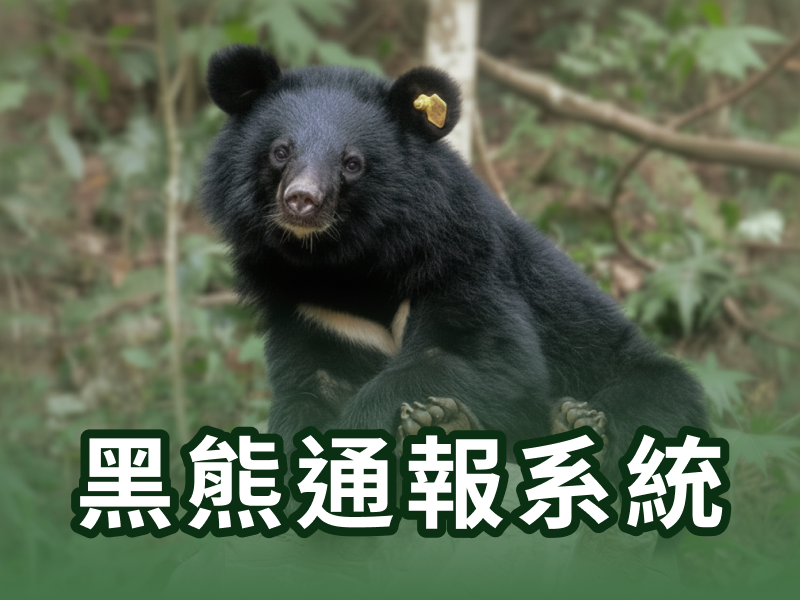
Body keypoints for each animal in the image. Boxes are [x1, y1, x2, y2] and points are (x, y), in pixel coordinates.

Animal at [200, 44, 708, 481]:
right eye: (280, 151)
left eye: (352, 163)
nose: (302, 201)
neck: (346, 264)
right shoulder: (310, 312)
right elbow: (308, 390)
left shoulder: (459, 265)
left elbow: (490, 360)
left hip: (639, 377)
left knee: (652, 401)